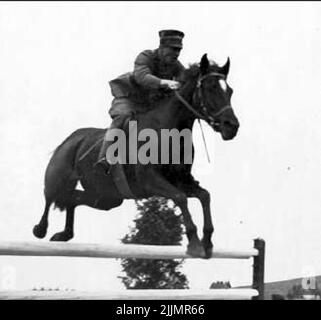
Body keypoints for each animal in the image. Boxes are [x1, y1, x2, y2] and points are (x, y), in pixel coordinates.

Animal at [33, 54, 238, 258]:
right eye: (210, 88)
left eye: (230, 91)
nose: (232, 127)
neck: (169, 131)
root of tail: (70, 139)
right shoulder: (149, 180)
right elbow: (180, 198)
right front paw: (195, 244)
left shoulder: (181, 180)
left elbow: (204, 196)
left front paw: (207, 242)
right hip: (58, 176)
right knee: (51, 196)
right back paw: (40, 229)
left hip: (106, 197)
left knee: (72, 197)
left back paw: (65, 234)